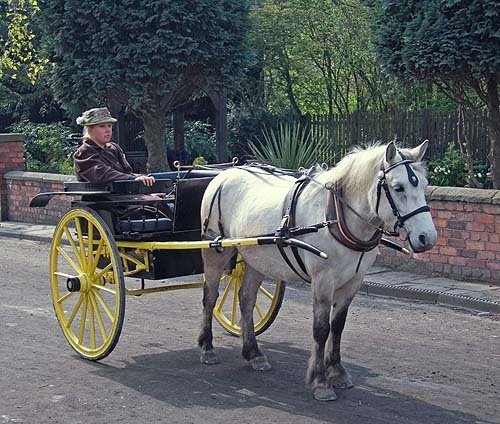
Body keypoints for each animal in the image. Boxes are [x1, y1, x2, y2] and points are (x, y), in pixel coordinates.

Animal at [197, 142, 436, 400]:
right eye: (398, 187)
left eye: (424, 185)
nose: (427, 238)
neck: (335, 218)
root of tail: (225, 174)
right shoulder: (323, 280)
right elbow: (321, 329)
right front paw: (320, 381)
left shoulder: (353, 281)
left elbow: (338, 326)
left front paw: (337, 372)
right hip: (215, 252)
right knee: (210, 298)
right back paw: (207, 347)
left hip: (255, 259)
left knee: (246, 300)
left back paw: (254, 353)